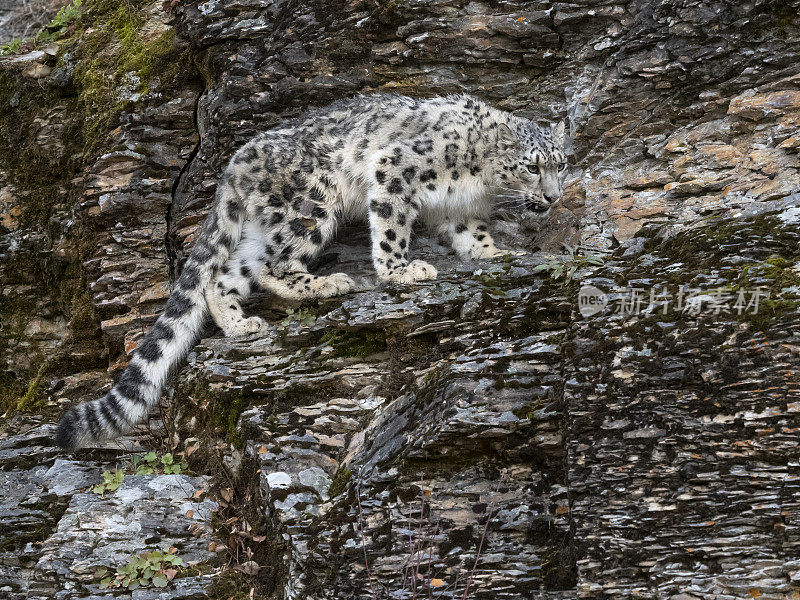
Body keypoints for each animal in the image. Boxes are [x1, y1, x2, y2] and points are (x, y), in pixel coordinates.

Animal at [56, 94, 568, 450]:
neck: (480, 181)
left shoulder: (461, 211)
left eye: (561, 165)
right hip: (311, 203)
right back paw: (325, 283)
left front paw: (493, 253)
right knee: (275, 263)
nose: (554, 197)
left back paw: (240, 323)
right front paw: (400, 270)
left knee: (225, 275)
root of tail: (234, 164)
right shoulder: (396, 170)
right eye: (532, 167)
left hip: (264, 229)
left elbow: (472, 236)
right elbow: (391, 225)